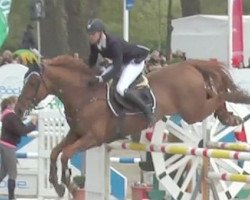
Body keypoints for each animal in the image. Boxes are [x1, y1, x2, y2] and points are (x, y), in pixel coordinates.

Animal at [14, 54, 250, 197]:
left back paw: (233, 114)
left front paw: (69, 185)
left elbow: (65, 155)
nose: (18, 109)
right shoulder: (75, 134)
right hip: (195, 107)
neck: (85, 96)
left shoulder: (92, 139)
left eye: (32, 82)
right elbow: (55, 152)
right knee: (214, 94)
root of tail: (188, 64)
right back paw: (228, 116)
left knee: (219, 95)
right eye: (24, 80)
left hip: (192, 111)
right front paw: (56, 183)